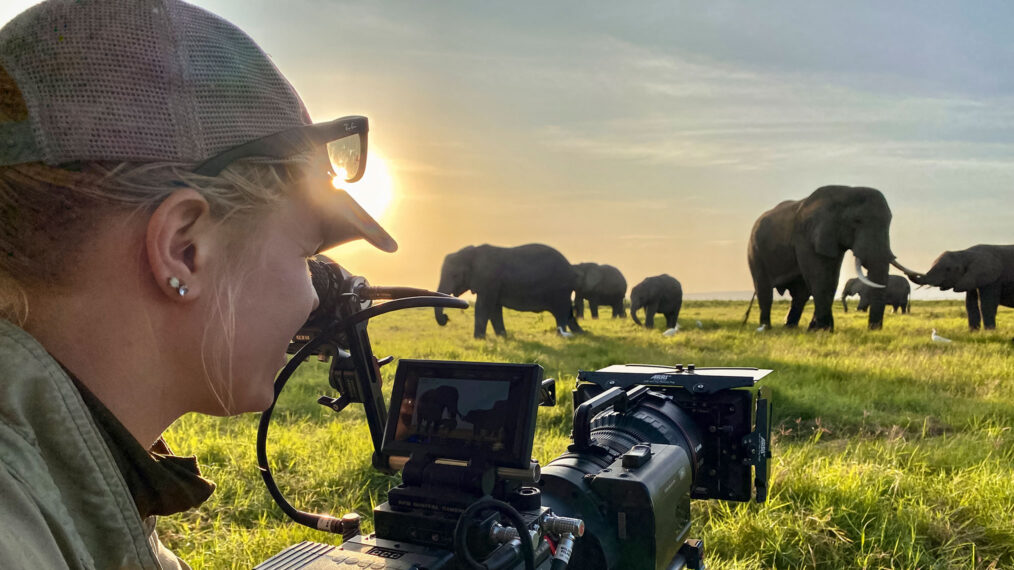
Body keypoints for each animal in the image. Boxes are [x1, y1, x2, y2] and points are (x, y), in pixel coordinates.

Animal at [433, 240, 584, 336]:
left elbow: (483, 307)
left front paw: (479, 339)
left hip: (560, 289)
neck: (472, 252)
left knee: (562, 312)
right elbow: (494, 309)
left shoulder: (489, 280)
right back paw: (581, 334)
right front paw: (502, 337)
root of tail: (572, 270)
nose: (446, 318)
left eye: (455, 275)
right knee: (567, 312)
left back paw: (562, 335)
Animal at [746, 184, 920, 330]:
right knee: (764, 289)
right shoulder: (807, 237)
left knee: (800, 293)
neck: (845, 192)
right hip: (755, 252)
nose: (873, 329)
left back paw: (789, 327)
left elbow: (831, 278)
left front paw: (818, 329)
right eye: (857, 221)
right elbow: (820, 278)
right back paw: (767, 327)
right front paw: (823, 329)